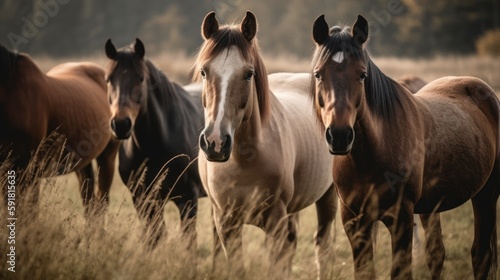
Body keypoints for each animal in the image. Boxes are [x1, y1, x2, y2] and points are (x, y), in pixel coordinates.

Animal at [104, 38, 206, 246]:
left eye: (140, 78)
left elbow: (189, 240)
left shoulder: (188, 198)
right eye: (109, 79)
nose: (121, 124)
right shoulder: (143, 199)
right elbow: (154, 237)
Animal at [193, 10, 338, 278]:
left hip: (327, 197)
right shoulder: (226, 222)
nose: (216, 142)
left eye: (248, 74)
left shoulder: (274, 221)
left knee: (322, 246)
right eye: (204, 72)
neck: (244, 160)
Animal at [310, 14, 498, 280]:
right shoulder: (354, 220)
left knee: (480, 254)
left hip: (486, 194)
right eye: (318, 74)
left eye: (362, 75)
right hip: (432, 206)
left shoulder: (402, 218)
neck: (370, 155)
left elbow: (401, 271)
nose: (339, 136)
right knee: (436, 254)